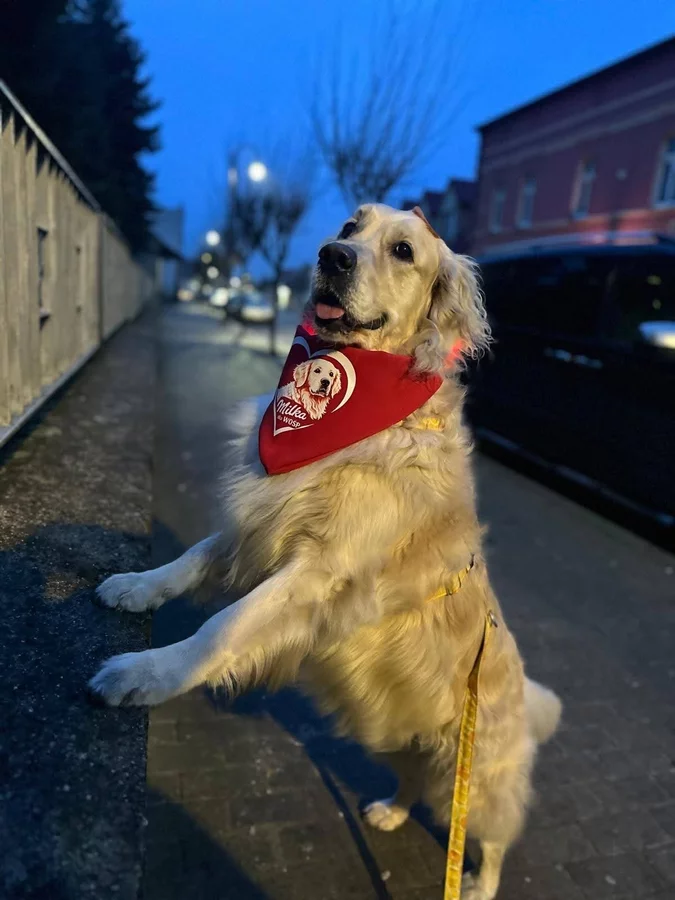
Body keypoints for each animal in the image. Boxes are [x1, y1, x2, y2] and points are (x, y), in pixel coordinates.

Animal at [90, 204, 561, 900]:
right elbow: (192, 559)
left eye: (402, 250)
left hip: (475, 780)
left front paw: (147, 673)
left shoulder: (315, 573)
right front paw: (137, 586)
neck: (362, 420)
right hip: (394, 732)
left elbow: (222, 627)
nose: (331, 257)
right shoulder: (258, 523)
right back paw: (392, 810)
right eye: (349, 225)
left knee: (494, 836)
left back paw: (478, 883)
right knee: (412, 779)